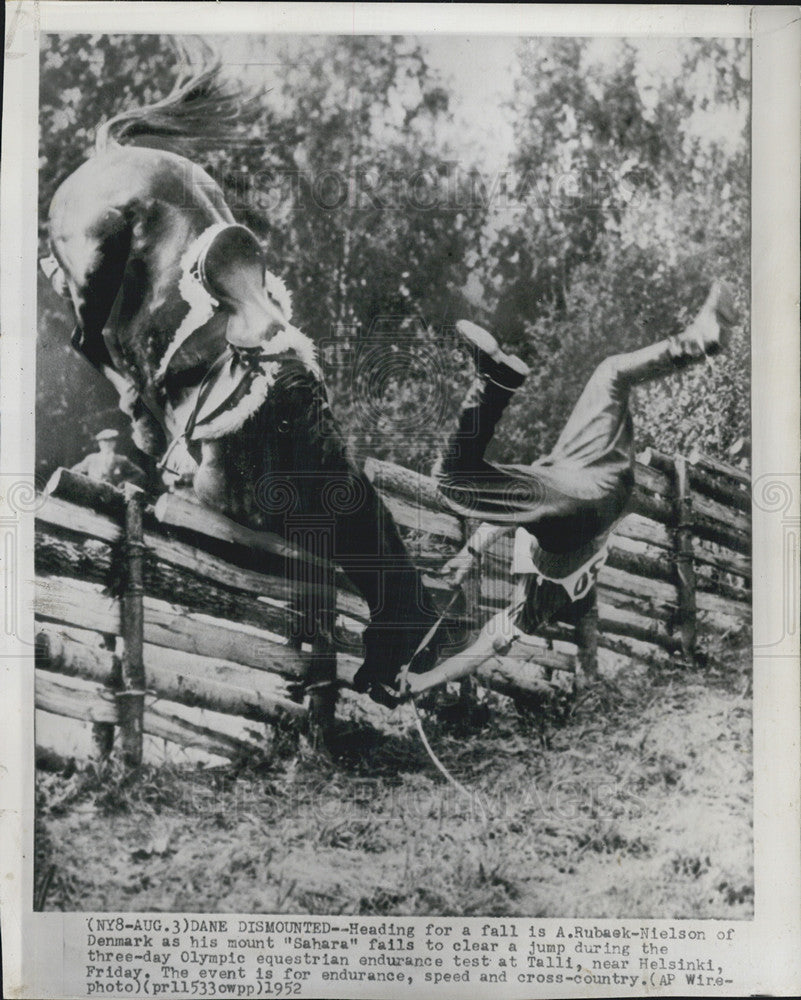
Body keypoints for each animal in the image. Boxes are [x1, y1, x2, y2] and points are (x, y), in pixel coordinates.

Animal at [40, 58, 440, 712]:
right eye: (410, 640)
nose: (391, 692)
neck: (294, 448)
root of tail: (109, 153)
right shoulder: (215, 498)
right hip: (96, 257)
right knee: (88, 337)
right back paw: (141, 417)